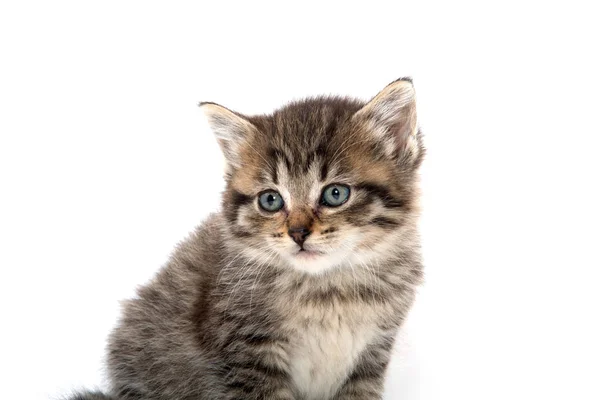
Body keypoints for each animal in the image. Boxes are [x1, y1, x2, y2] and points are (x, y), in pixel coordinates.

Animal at [68, 78, 424, 400]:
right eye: (270, 200)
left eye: (336, 194)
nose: (297, 233)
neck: (328, 290)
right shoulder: (246, 355)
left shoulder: (371, 355)